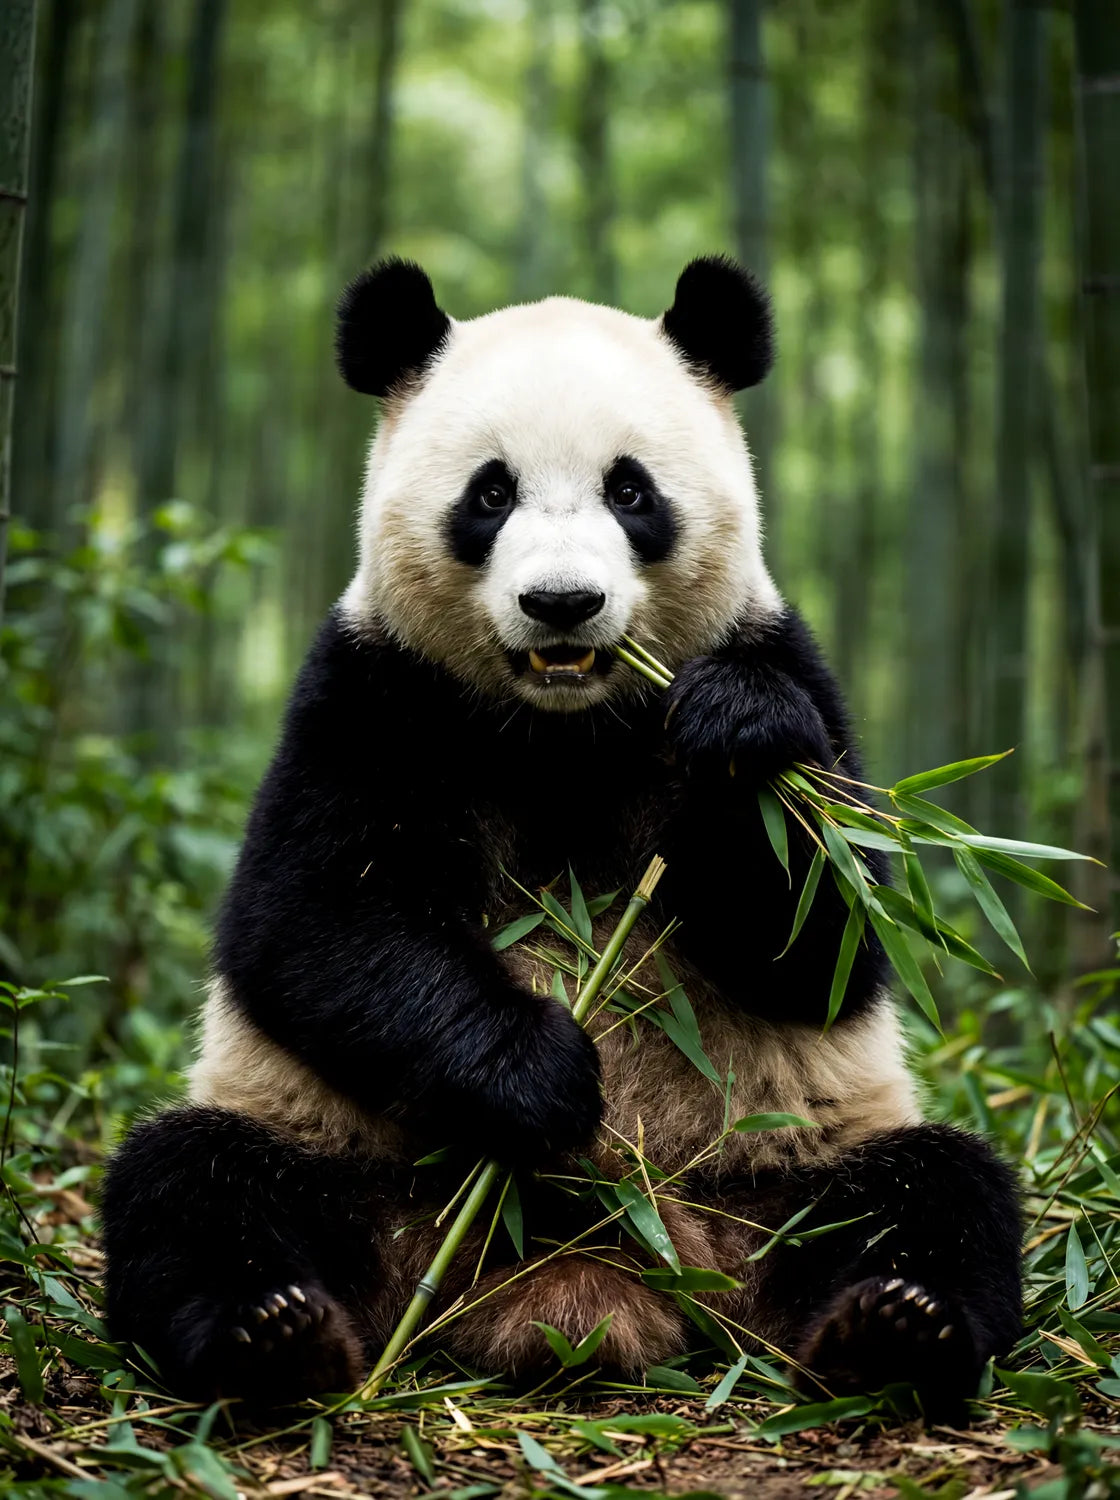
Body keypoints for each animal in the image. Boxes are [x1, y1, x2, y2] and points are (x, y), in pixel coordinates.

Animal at [101, 256, 1022, 1417]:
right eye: (489, 493)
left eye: (632, 492)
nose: (562, 604)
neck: (562, 729)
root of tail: (592, 1284)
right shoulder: (375, 690)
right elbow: (313, 918)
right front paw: (538, 1072)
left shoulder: (783, 661)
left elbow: (827, 939)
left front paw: (741, 737)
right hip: (355, 1164)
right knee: (193, 1183)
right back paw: (272, 1336)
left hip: (775, 1170)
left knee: (933, 1191)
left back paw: (894, 1328)